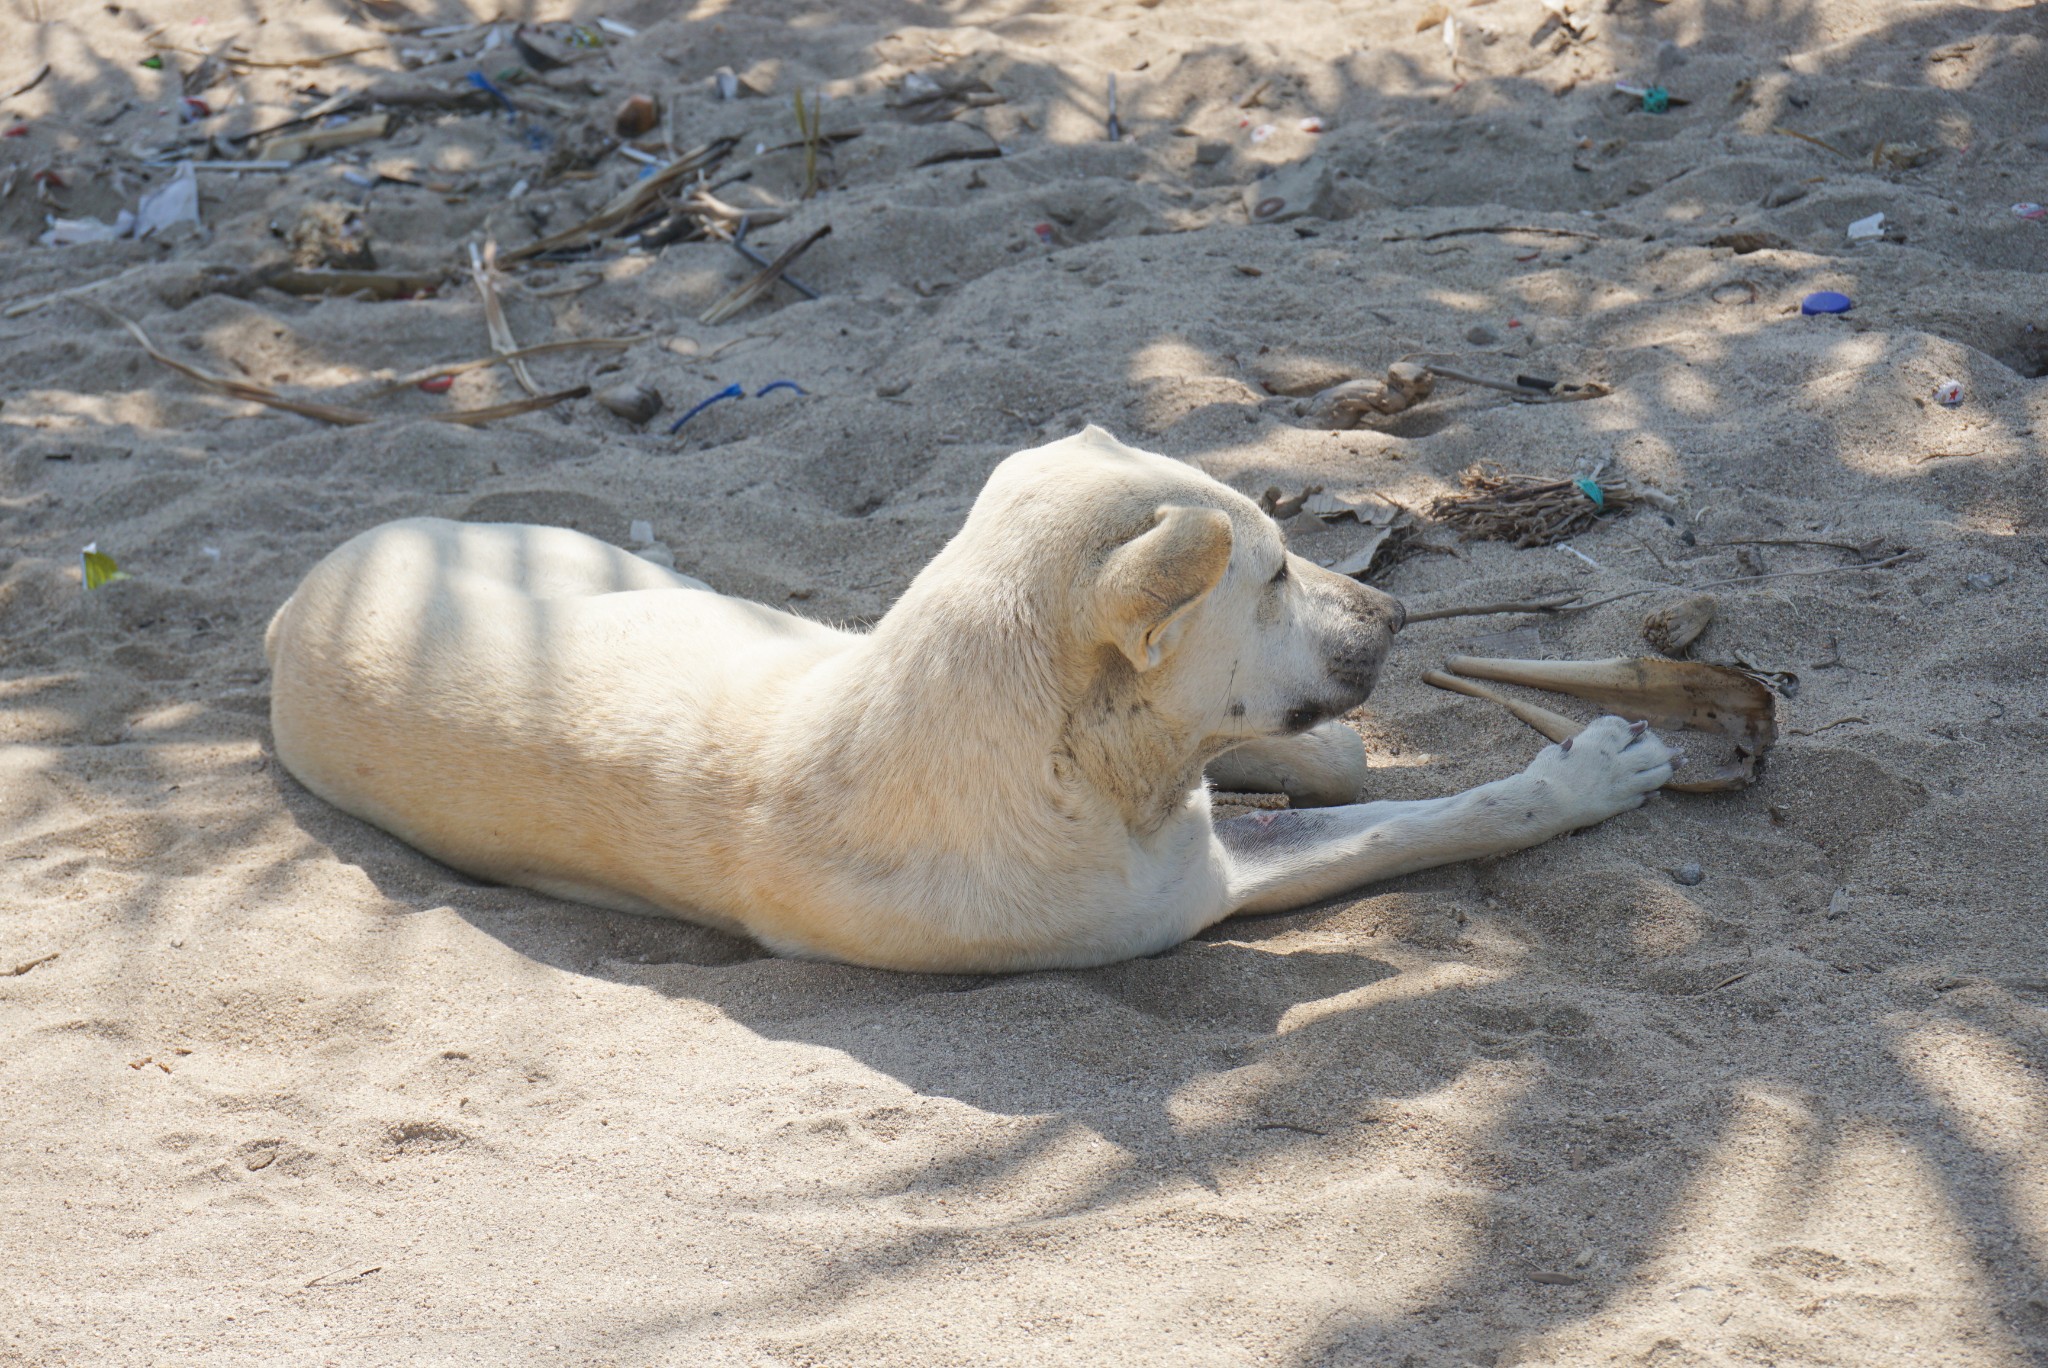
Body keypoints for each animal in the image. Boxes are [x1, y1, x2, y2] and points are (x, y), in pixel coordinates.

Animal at [264, 428, 1671, 970]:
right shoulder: (1196, 890)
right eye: (1271, 576)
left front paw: (1323, 756)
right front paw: (1585, 775)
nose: (1396, 619)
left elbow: (1333, 775)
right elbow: (1433, 819)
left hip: (602, 571)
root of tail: (295, 607)